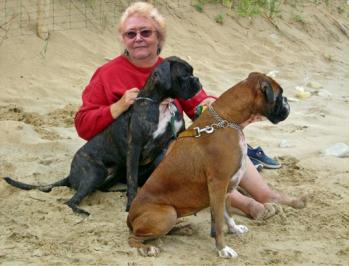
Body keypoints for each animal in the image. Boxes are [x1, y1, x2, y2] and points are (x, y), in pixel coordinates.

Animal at [3, 56, 201, 216]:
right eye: (185, 75)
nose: (198, 80)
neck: (161, 104)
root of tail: (70, 174)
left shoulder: (173, 141)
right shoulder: (135, 147)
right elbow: (132, 181)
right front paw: (131, 205)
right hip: (95, 172)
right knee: (70, 201)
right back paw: (81, 211)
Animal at [126, 72, 290, 258]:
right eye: (279, 95)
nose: (287, 102)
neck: (228, 120)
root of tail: (129, 217)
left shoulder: (226, 188)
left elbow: (227, 213)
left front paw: (234, 229)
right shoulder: (218, 184)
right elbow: (218, 220)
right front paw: (223, 249)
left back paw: (183, 228)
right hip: (168, 213)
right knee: (134, 238)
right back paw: (148, 248)